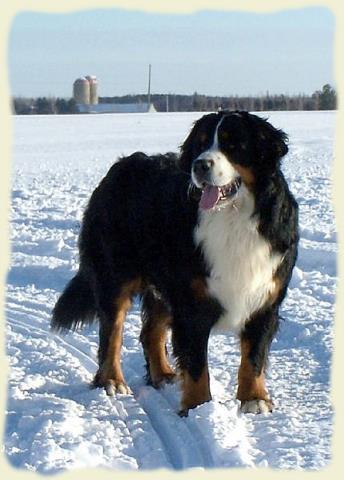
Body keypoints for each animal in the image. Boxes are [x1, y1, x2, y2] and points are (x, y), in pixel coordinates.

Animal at [51, 111, 298, 416]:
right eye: (200, 144)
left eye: (233, 144)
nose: (200, 165)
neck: (232, 219)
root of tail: (122, 166)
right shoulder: (191, 301)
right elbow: (196, 364)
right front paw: (199, 408)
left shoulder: (265, 297)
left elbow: (254, 356)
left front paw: (254, 399)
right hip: (116, 277)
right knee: (112, 333)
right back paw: (112, 381)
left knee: (151, 332)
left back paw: (163, 375)